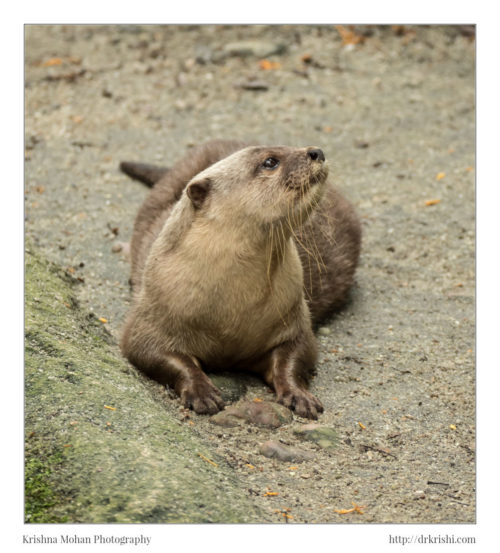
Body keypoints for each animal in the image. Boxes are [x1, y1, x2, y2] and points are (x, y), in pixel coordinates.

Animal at [118, 139, 360, 418]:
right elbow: (155, 353)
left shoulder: (295, 318)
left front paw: (299, 396)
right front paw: (202, 392)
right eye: (270, 161)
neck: (231, 311)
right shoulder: (151, 316)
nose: (316, 152)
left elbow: (296, 357)